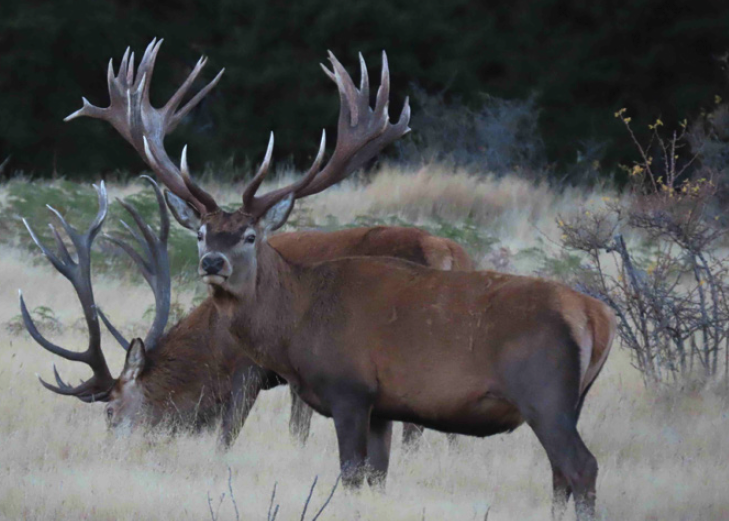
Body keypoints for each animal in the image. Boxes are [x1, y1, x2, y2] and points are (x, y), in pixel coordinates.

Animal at [66, 41, 614, 518]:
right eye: (201, 232)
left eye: (249, 235)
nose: (211, 263)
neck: (297, 325)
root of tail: (596, 317)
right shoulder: (385, 406)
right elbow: (377, 476)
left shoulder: (349, 389)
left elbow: (347, 473)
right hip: (573, 399)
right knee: (560, 476)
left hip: (544, 391)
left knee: (581, 467)